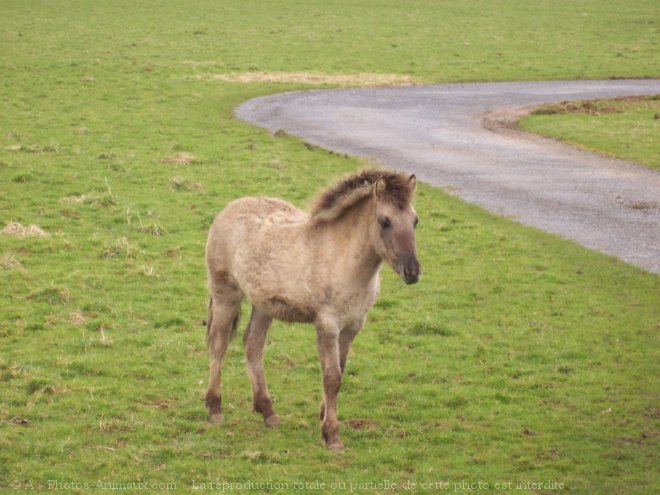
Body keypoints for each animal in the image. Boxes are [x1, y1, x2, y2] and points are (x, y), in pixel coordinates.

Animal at [204, 170, 420, 450]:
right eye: (385, 221)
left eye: (415, 221)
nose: (412, 272)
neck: (343, 258)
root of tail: (229, 209)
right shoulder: (327, 324)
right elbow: (332, 377)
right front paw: (332, 435)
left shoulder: (351, 327)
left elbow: (340, 371)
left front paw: (324, 415)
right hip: (225, 293)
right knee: (218, 344)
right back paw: (215, 409)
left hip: (263, 305)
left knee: (253, 345)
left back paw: (268, 411)